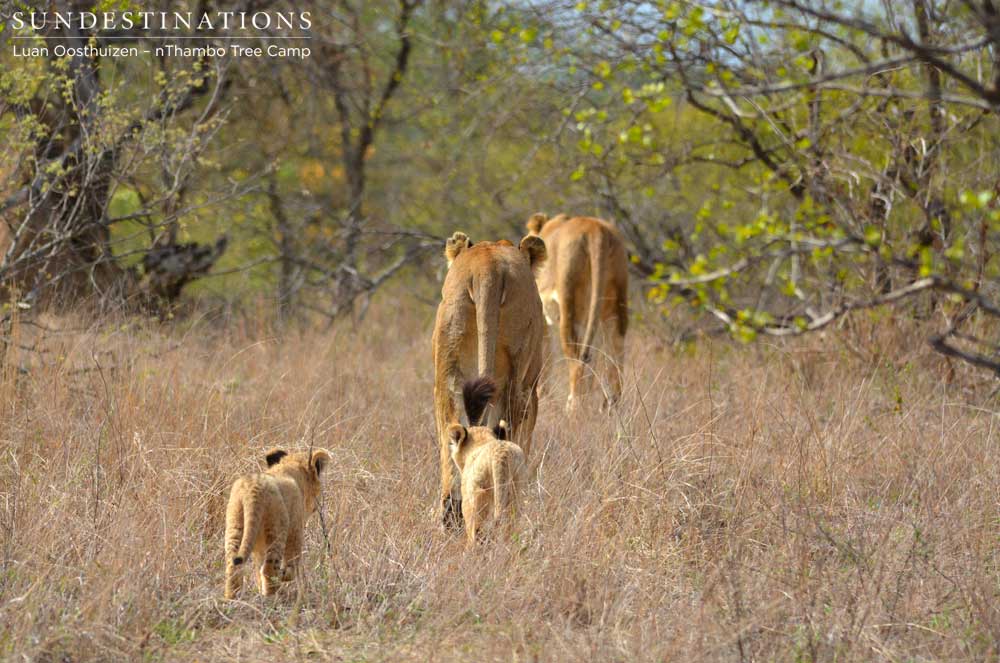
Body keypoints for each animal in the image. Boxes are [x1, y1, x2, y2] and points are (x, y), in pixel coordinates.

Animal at [223, 447, 332, 599]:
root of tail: (254, 488)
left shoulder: (259, 548)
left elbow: (258, 569)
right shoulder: (295, 531)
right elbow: (292, 564)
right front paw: (285, 575)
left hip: (235, 526)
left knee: (233, 567)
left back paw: (233, 598)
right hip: (277, 531)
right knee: (268, 569)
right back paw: (272, 597)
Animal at [433, 231, 546, 529]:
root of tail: (487, 269)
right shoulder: (532, 390)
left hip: (447, 367)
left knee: (451, 435)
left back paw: (452, 520)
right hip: (518, 375)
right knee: (508, 428)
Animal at [526, 213, 629, 410]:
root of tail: (596, 230)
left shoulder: (541, 317)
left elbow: (545, 358)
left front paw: (542, 397)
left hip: (569, 299)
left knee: (576, 359)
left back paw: (573, 407)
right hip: (615, 305)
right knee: (615, 353)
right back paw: (611, 406)